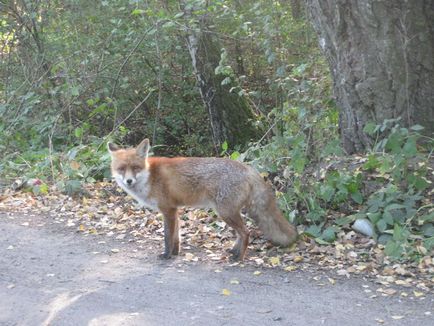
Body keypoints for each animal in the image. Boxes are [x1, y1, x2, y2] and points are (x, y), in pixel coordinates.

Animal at [108, 139, 298, 262]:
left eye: (135, 168)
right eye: (121, 169)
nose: (128, 181)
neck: (150, 176)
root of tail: (248, 168)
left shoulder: (168, 210)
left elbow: (168, 237)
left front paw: (167, 255)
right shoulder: (175, 210)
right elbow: (177, 237)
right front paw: (175, 254)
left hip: (225, 212)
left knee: (246, 232)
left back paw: (239, 258)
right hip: (229, 212)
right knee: (241, 232)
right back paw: (234, 251)